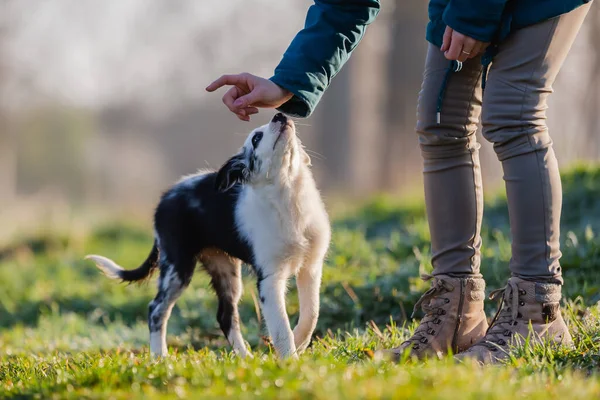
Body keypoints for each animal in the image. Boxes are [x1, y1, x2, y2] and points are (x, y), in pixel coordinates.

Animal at [85, 112, 330, 360]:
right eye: (256, 138)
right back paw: (160, 356)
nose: (279, 115)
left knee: (225, 315)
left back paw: (245, 357)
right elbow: (281, 327)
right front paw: (290, 360)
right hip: (177, 266)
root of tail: (164, 199)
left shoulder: (311, 267)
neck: (289, 196)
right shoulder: (269, 278)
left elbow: (312, 313)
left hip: (225, 268)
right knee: (156, 309)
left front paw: (300, 342)